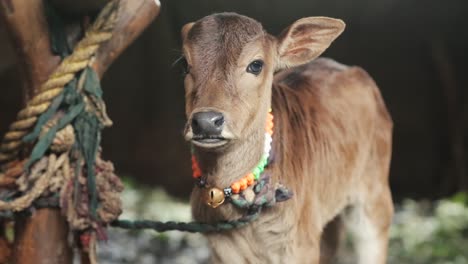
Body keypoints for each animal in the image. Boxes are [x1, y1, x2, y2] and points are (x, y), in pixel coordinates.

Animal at [181, 12, 394, 264]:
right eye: (184, 64)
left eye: (256, 65)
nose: (206, 121)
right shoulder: (221, 247)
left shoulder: (299, 244)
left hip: (375, 197)